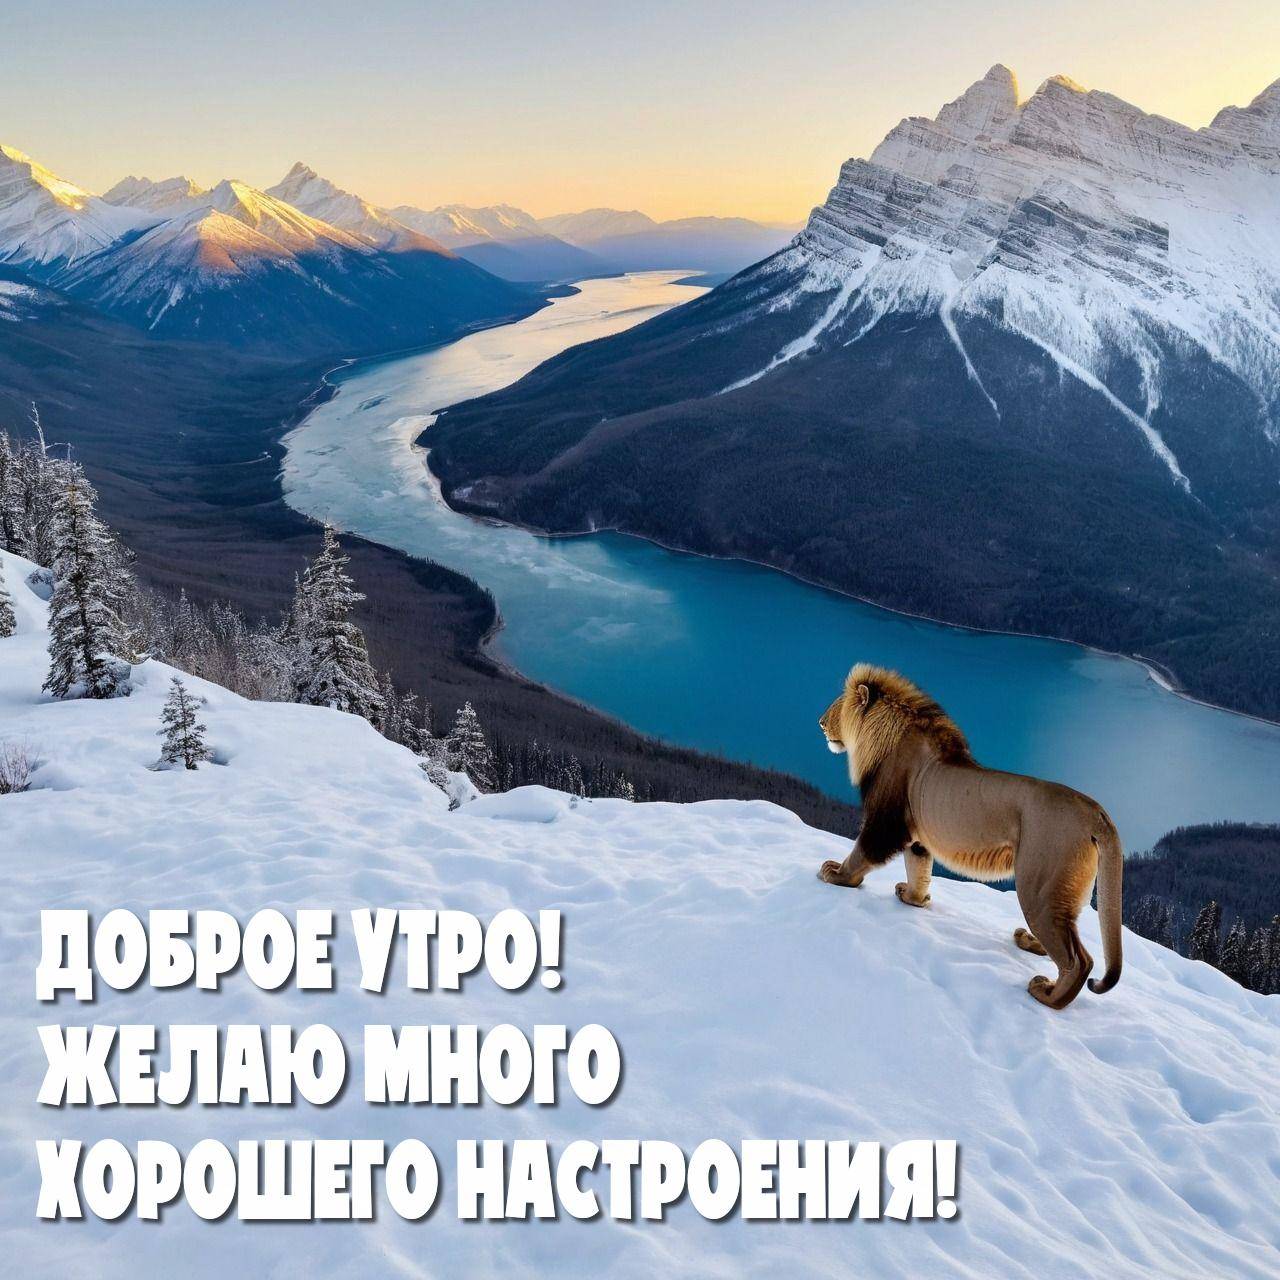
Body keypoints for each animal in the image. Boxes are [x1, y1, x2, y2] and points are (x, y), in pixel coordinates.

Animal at [817, 663, 1122, 1009]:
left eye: (838, 703)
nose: (820, 722)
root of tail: (1096, 813)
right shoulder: (918, 837)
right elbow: (919, 871)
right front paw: (913, 899)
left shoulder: (885, 822)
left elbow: (860, 854)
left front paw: (836, 875)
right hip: (1065, 893)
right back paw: (1029, 943)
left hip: (1039, 889)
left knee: (1079, 961)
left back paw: (1047, 995)